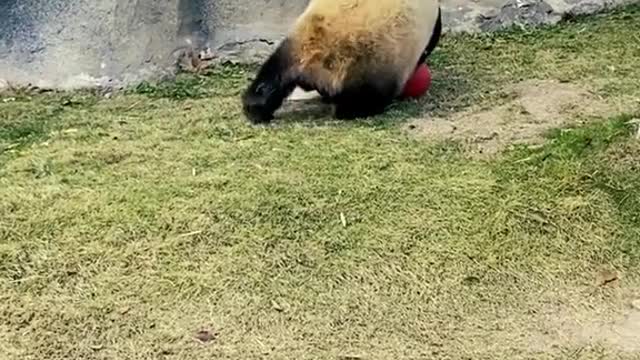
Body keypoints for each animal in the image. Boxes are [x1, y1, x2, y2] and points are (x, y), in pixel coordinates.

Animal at [240, 0, 440, 124]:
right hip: (374, 60)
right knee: (368, 96)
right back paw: (348, 110)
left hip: (295, 44)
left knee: (272, 76)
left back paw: (256, 108)